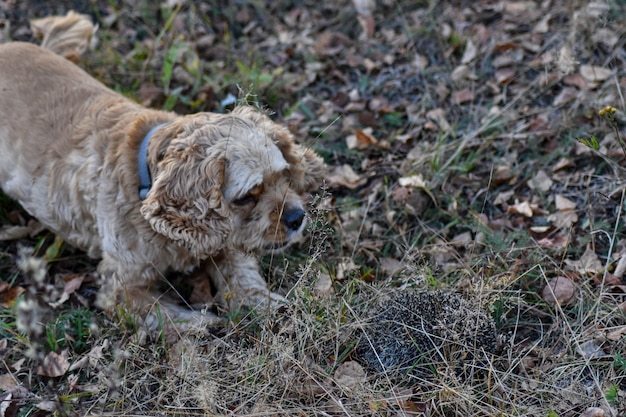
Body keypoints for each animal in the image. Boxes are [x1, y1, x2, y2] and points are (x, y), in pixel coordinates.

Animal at [1, 12, 326, 328]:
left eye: (283, 176)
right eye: (247, 197)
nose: (297, 218)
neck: (145, 178)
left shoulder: (224, 239)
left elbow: (240, 271)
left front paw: (265, 302)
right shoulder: (120, 285)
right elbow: (160, 311)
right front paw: (201, 322)